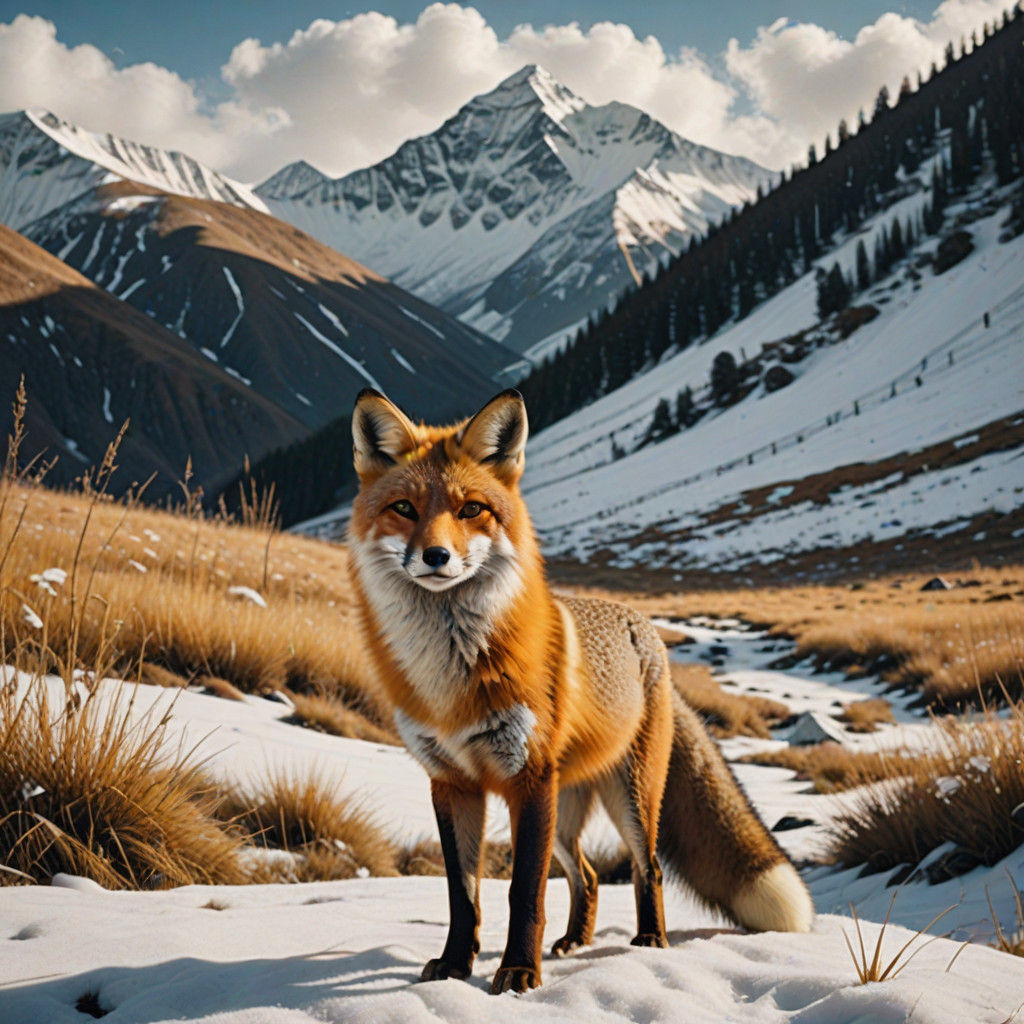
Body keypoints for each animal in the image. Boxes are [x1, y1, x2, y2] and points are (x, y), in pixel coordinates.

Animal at [347, 387, 813, 995]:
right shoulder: (451, 783)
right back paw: (574, 942)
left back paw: (649, 941)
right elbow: (462, 895)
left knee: (647, 866)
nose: (437, 557)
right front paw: (453, 967)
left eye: (471, 509)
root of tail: (648, 633)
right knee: (587, 875)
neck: (450, 680)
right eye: (404, 508)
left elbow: (523, 893)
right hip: (566, 811)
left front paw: (519, 971)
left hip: (627, 797)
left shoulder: (527, 777)